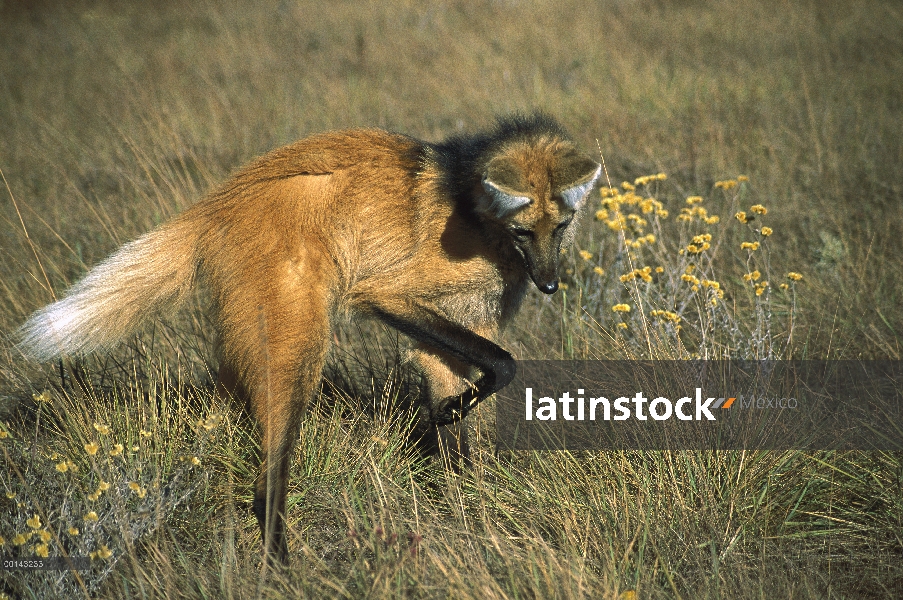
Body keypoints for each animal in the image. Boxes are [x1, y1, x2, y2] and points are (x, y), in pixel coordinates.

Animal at [17, 112, 600, 564]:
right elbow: (504, 365)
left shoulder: (449, 336)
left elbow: (464, 435)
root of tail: (215, 202)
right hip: (299, 349)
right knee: (265, 485)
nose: (549, 284)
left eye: (560, 228)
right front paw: (451, 417)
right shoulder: (386, 292)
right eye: (524, 231)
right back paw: (282, 570)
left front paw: (470, 509)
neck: (476, 217)